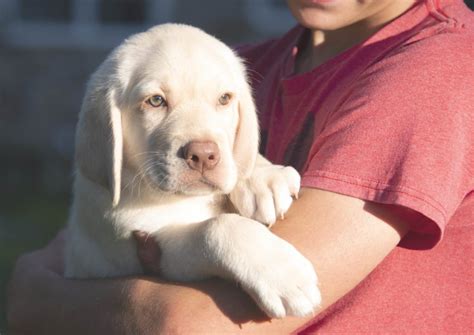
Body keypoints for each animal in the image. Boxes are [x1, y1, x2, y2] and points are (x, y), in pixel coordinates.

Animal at [65, 24, 320, 320]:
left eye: (224, 99)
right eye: (155, 101)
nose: (203, 156)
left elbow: (241, 159)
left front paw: (264, 178)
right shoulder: (153, 245)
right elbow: (216, 228)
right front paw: (285, 276)